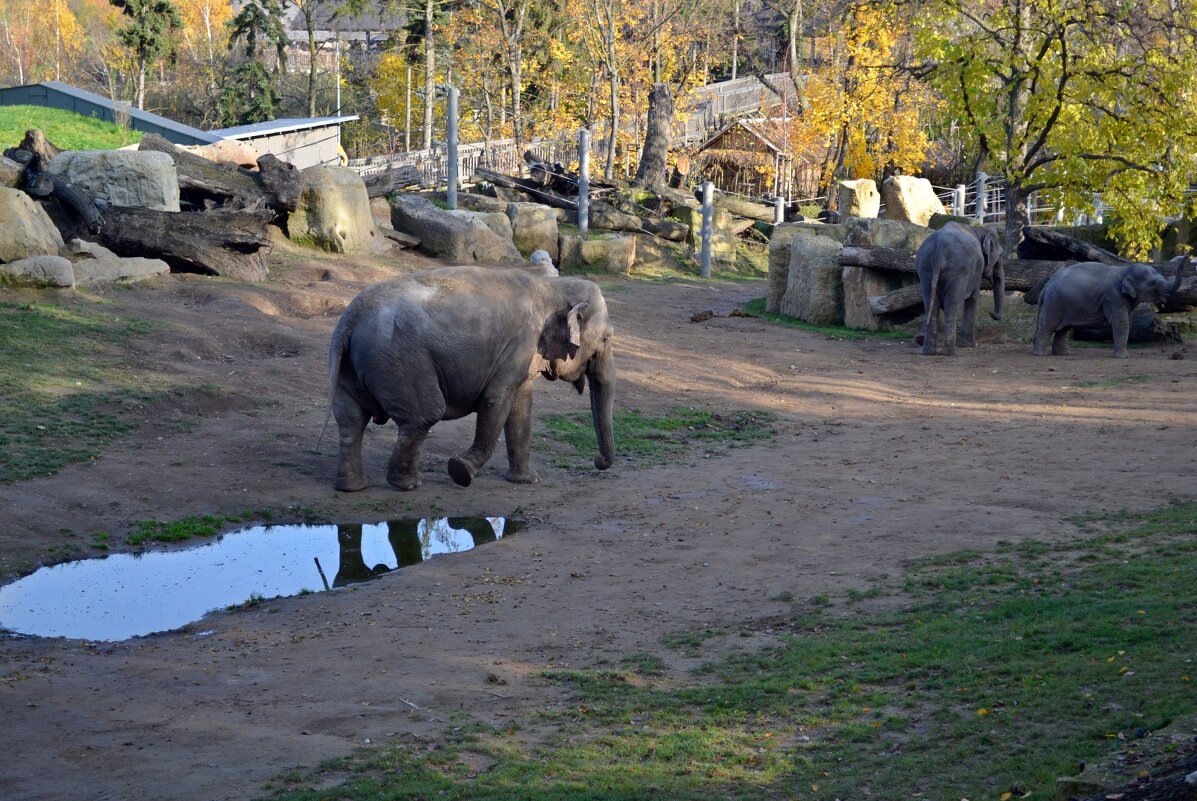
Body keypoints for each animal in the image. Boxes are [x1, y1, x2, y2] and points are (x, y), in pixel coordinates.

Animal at [320, 263, 617, 488]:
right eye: (606, 338)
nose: (598, 461)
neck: (551, 287)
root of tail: (349, 319)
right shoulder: (520, 342)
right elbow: (497, 401)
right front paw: (461, 471)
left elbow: (521, 406)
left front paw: (528, 481)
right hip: (399, 360)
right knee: (424, 414)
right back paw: (407, 485)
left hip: (356, 364)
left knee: (350, 418)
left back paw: (352, 486)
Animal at [909, 220, 1005, 354]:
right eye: (1000, 255)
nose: (991, 312)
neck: (979, 230)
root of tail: (939, 251)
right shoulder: (977, 270)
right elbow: (973, 297)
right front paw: (970, 345)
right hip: (958, 271)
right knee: (951, 303)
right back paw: (951, 352)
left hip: (925, 269)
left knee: (930, 302)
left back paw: (928, 351)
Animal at [1029, 257, 1187, 356]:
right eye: (1153, 283)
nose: (1186, 256)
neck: (1124, 270)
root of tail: (1048, 284)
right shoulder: (1113, 297)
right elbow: (1121, 321)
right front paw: (1123, 357)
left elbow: (1127, 321)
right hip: (1054, 302)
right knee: (1048, 325)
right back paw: (1040, 354)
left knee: (1063, 329)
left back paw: (1062, 354)